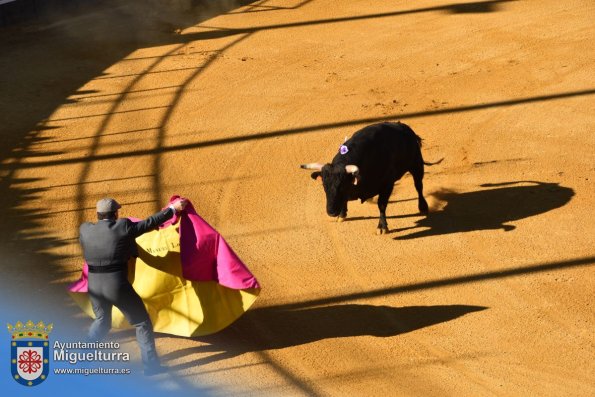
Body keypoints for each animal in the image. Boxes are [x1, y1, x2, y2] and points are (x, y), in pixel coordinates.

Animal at [300, 120, 440, 232]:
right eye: (324, 186)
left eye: (342, 186)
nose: (331, 212)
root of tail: (405, 127)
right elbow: (345, 200)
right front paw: (342, 215)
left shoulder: (387, 185)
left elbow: (381, 204)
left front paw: (382, 227)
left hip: (416, 164)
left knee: (418, 185)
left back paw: (423, 206)